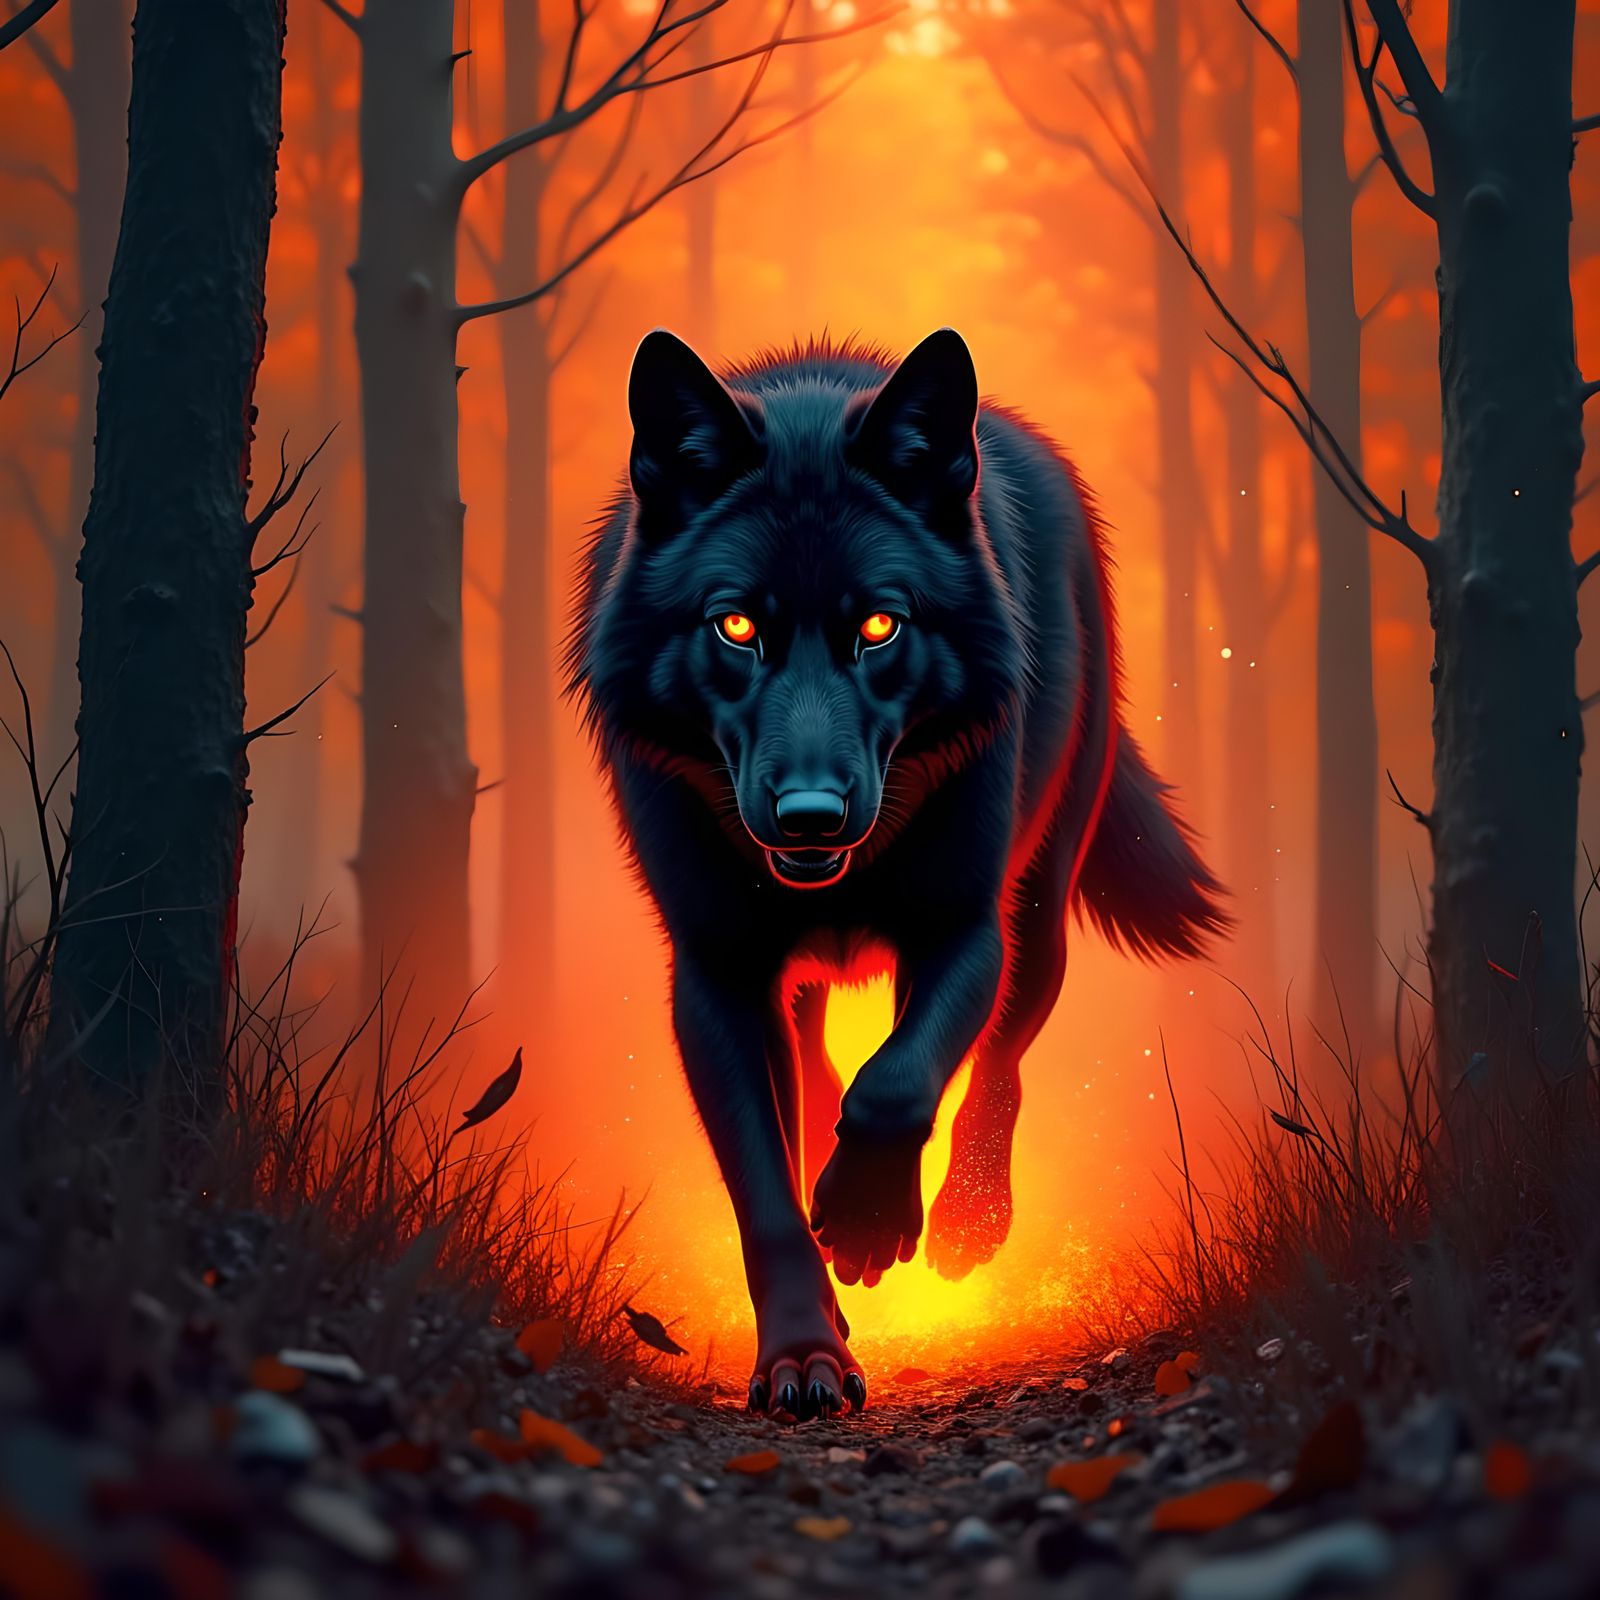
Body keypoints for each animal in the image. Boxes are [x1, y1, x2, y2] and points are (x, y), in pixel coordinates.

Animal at [569, 328, 1226, 1419]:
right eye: (734, 627)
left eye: (879, 627)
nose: (810, 815)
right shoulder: (714, 974)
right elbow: (767, 1189)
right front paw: (804, 1352)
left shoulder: (963, 927)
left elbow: (903, 1079)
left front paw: (871, 1223)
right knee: (812, 1059)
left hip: (1039, 911)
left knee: (1000, 1058)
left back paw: (967, 1221)